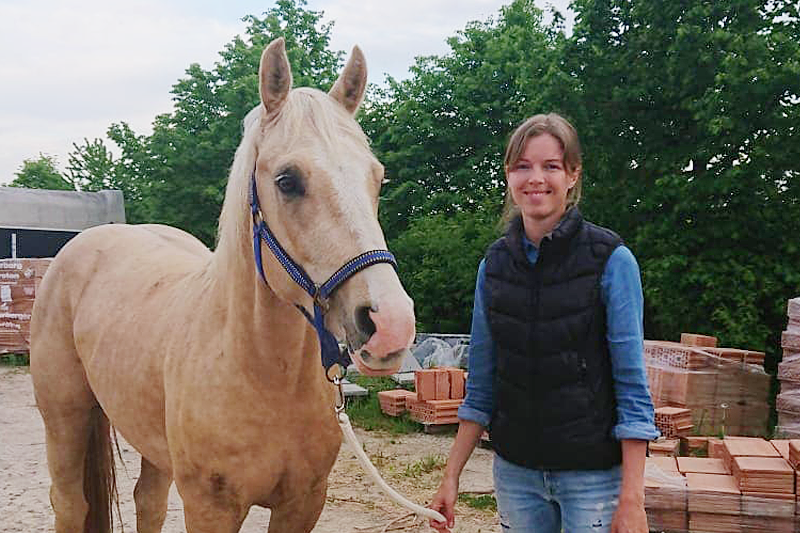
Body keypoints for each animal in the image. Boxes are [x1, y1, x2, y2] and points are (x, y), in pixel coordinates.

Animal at [29, 38, 418, 532]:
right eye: (287, 180)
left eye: (377, 177)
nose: (390, 325)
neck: (262, 372)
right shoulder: (210, 508)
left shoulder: (303, 503)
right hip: (65, 418)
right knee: (70, 504)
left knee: (148, 501)